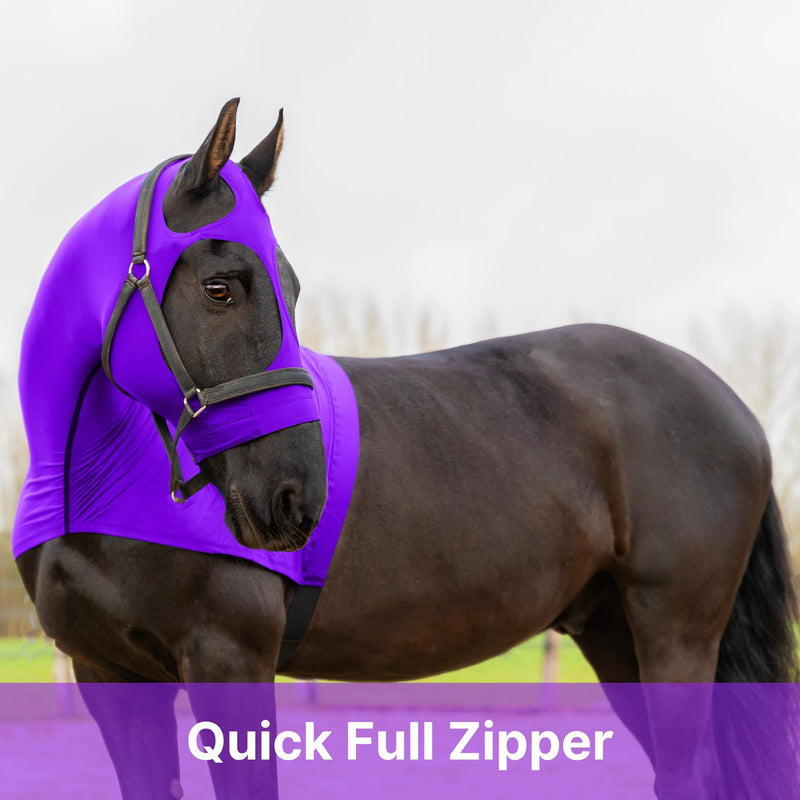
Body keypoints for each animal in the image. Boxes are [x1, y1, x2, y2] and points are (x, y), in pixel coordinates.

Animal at [14, 99, 799, 800]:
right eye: (220, 288)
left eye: (290, 288)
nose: (295, 496)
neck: (94, 489)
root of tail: (730, 404)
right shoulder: (109, 679)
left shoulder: (228, 660)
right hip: (613, 632)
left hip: (675, 631)